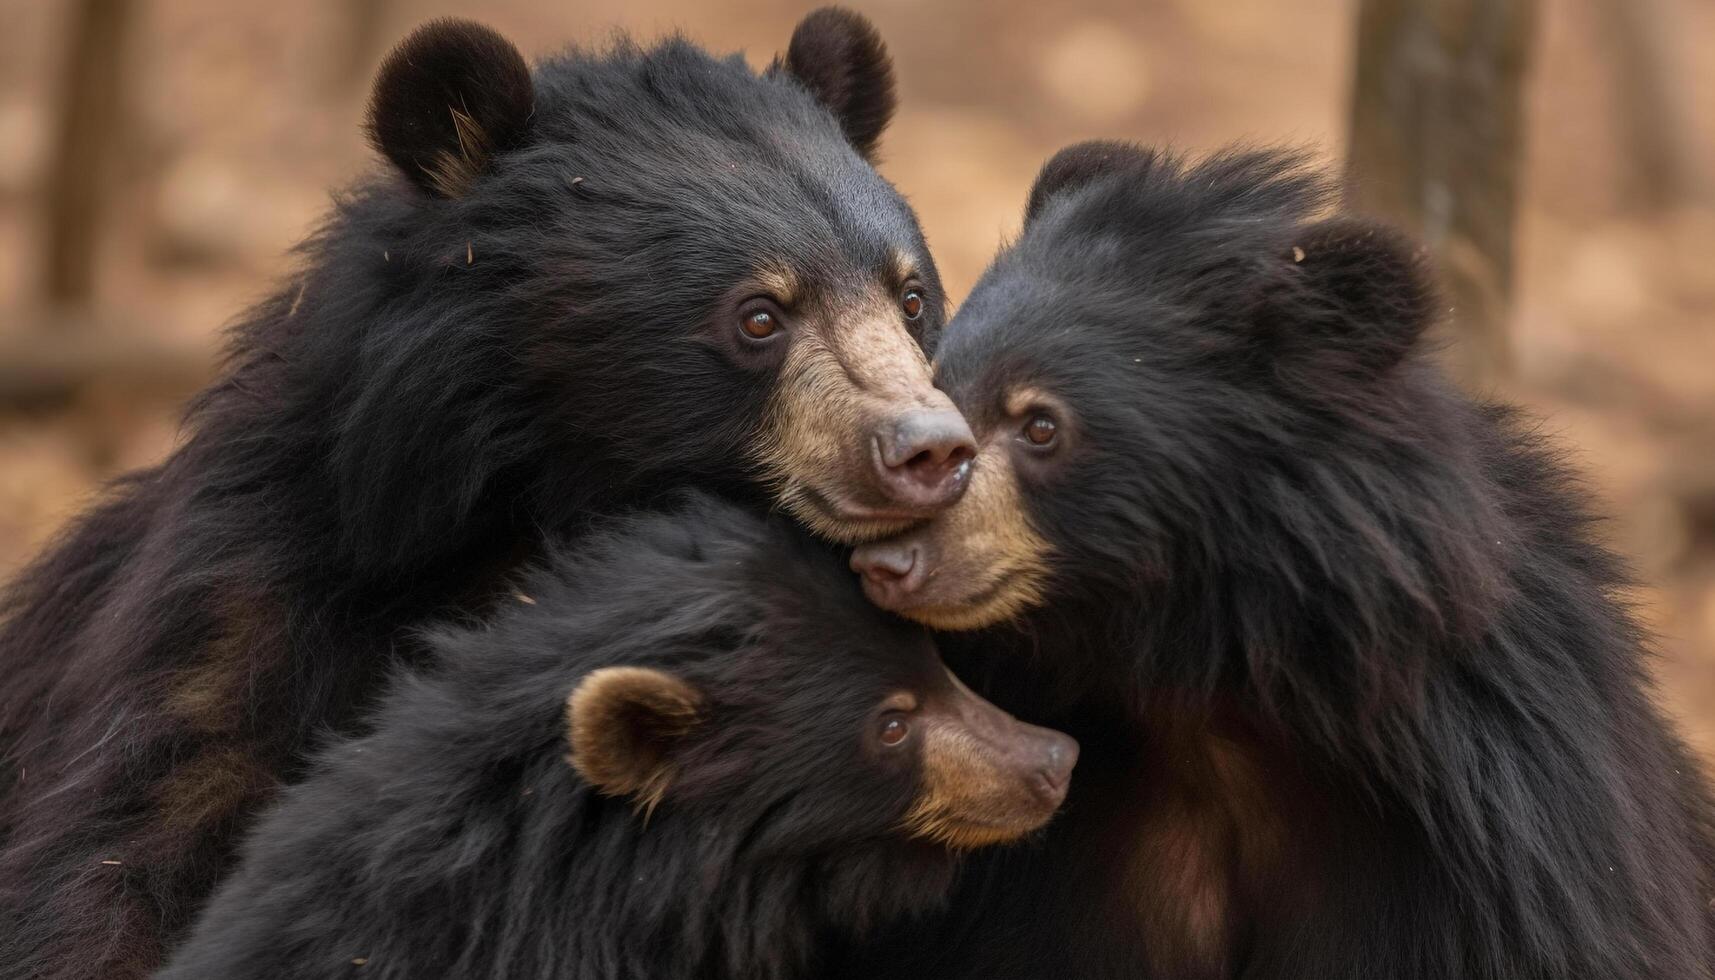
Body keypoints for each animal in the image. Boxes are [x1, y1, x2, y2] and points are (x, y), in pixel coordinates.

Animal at [0, 9, 974, 980]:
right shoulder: (233, 622)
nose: (930, 450)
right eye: (759, 316)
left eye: (910, 297)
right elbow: (123, 858)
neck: (545, 504)